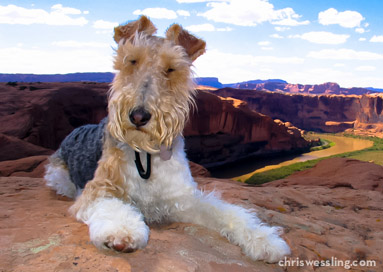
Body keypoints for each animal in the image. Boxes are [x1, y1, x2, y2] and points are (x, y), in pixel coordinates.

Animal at [44, 15, 292, 262]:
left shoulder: (183, 200)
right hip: (58, 176)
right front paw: (122, 231)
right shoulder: (99, 189)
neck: (145, 154)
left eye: (171, 68)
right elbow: (112, 205)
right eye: (132, 60)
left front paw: (265, 240)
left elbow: (228, 212)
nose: (138, 116)